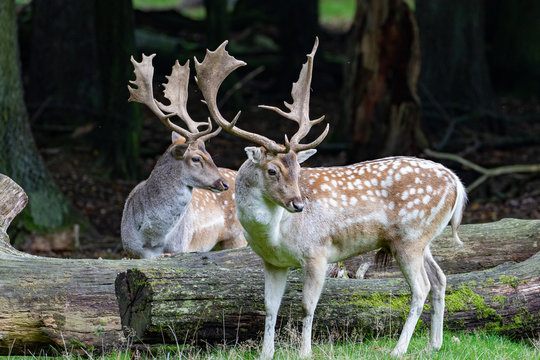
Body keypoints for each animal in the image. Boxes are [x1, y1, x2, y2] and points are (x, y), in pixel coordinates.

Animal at [121, 52, 246, 258]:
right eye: (196, 158)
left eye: (210, 155)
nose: (224, 183)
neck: (152, 240)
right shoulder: (130, 250)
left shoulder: (180, 249)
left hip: (238, 236)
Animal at [195, 40, 468, 358]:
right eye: (273, 170)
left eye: (298, 169)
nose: (299, 204)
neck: (273, 234)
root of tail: (456, 183)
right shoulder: (273, 263)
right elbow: (270, 308)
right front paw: (266, 353)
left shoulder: (317, 252)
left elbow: (306, 306)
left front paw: (305, 352)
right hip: (422, 239)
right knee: (440, 279)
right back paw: (433, 344)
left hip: (410, 237)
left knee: (422, 287)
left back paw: (399, 348)